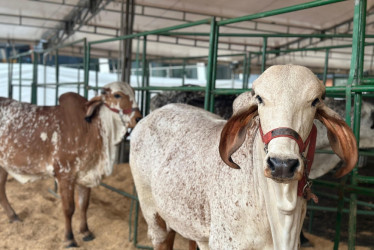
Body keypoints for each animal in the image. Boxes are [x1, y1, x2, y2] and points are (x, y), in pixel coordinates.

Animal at [0, 82, 142, 248]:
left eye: (134, 93)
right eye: (117, 95)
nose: (139, 118)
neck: (90, 128)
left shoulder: (86, 174)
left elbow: (84, 205)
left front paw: (85, 231)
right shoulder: (65, 175)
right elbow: (69, 208)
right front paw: (69, 238)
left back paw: (13, 216)